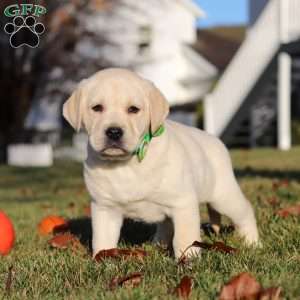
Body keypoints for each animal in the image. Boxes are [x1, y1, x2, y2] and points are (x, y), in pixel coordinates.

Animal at [62, 68, 258, 258]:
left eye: (133, 109)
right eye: (97, 108)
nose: (114, 132)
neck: (126, 164)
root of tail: (216, 140)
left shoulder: (183, 203)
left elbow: (184, 238)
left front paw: (188, 260)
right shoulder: (104, 207)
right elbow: (102, 239)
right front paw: (102, 259)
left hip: (223, 196)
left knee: (245, 211)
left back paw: (252, 243)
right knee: (166, 226)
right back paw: (158, 245)